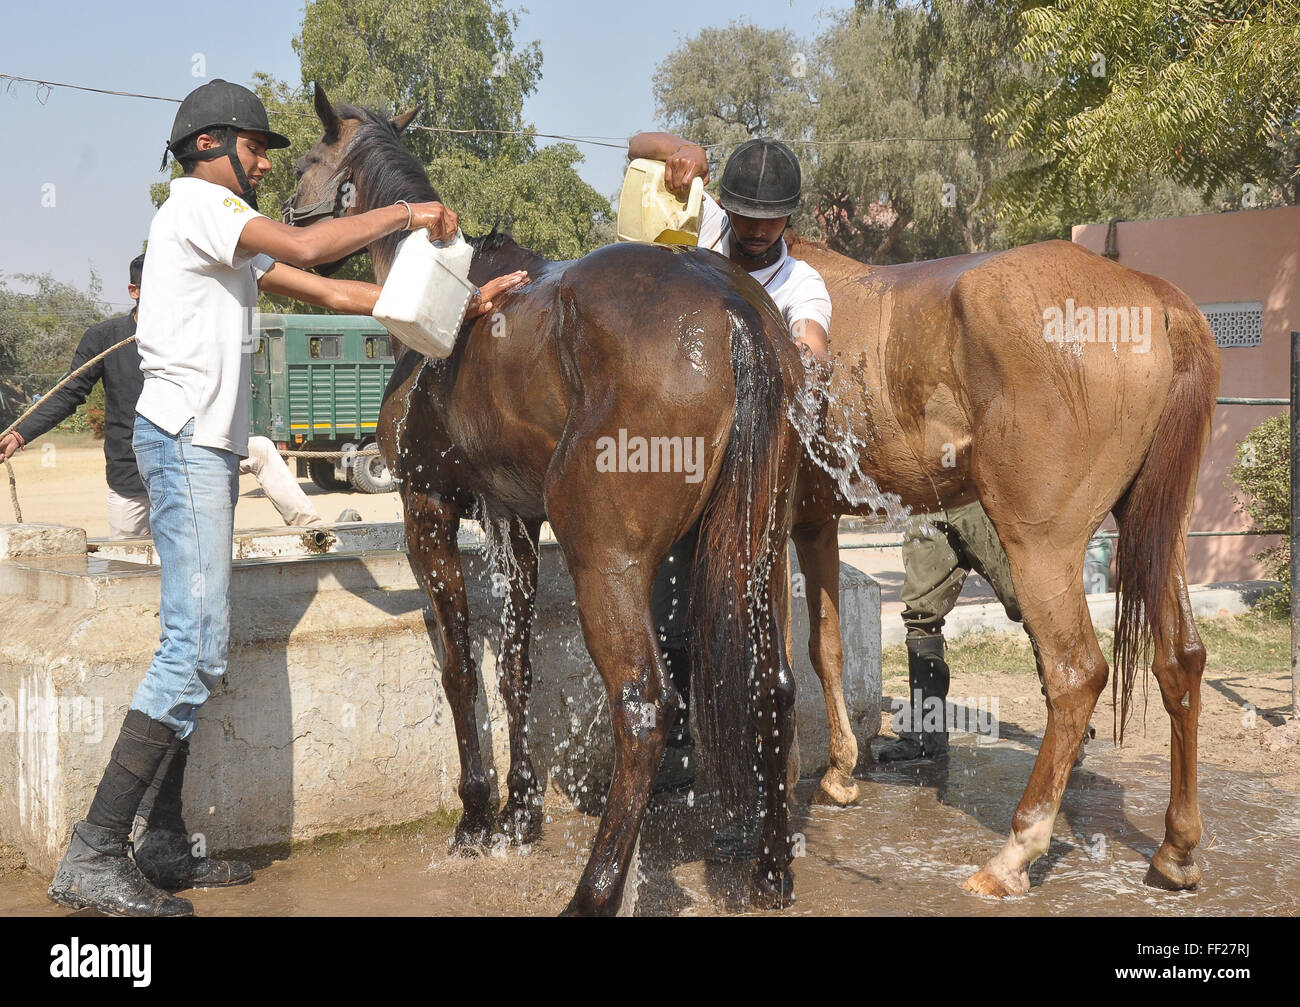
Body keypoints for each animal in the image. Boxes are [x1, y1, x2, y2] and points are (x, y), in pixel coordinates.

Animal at [285, 84, 806, 915]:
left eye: (307, 160)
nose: (282, 211)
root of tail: (731, 310)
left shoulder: (427, 509)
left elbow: (461, 669)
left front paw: (476, 814)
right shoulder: (516, 522)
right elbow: (516, 667)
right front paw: (519, 811)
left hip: (608, 561)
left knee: (642, 707)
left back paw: (594, 889)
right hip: (752, 549)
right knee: (774, 685)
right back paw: (769, 867)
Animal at [783, 231, 1220, 896]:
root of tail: (1156, 297)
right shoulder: (815, 519)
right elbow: (825, 646)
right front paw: (839, 772)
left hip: (1041, 549)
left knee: (1076, 674)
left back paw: (1015, 853)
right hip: (1159, 529)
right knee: (1181, 660)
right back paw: (1176, 850)